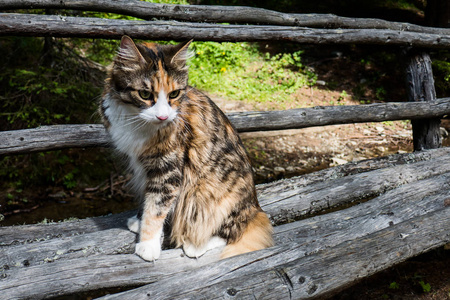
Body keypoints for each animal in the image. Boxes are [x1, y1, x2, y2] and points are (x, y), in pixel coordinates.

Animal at [100, 35, 272, 260]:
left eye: (174, 94)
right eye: (145, 94)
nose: (163, 117)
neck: (136, 120)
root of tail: (256, 208)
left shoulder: (168, 168)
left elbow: (156, 208)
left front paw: (148, 245)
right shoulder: (142, 166)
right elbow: (148, 201)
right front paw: (139, 221)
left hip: (209, 194)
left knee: (230, 231)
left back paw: (195, 246)